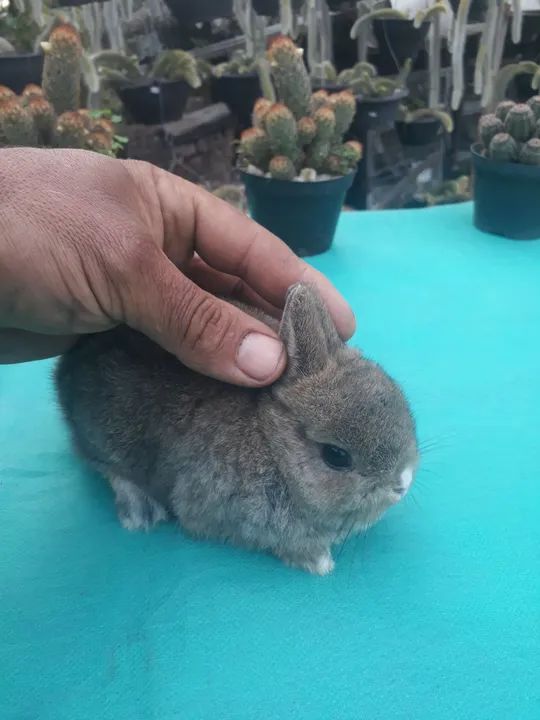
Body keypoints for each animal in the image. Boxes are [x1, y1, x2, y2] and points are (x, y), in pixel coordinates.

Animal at [55, 283, 418, 575]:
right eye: (337, 456)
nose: (402, 483)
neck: (274, 447)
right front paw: (319, 562)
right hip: (106, 438)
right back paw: (140, 513)